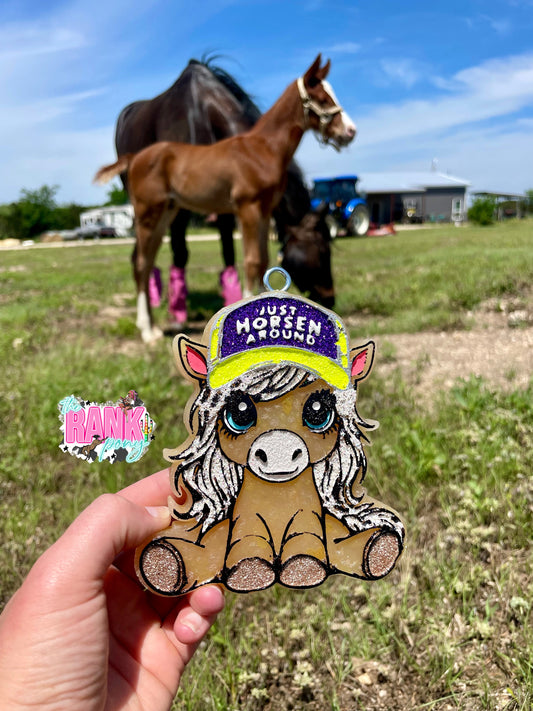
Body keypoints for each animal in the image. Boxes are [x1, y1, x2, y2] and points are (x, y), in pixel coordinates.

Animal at [95, 55, 356, 343]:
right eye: (321, 97)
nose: (349, 131)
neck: (260, 148)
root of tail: (134, 157)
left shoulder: (263, 211)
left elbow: (263, 260)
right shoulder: (247, 208)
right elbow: (252, 262)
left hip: (166, 213)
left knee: (146, 259)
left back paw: (152, 327)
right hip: (148, 212)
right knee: (141, 263)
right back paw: (146, 331)